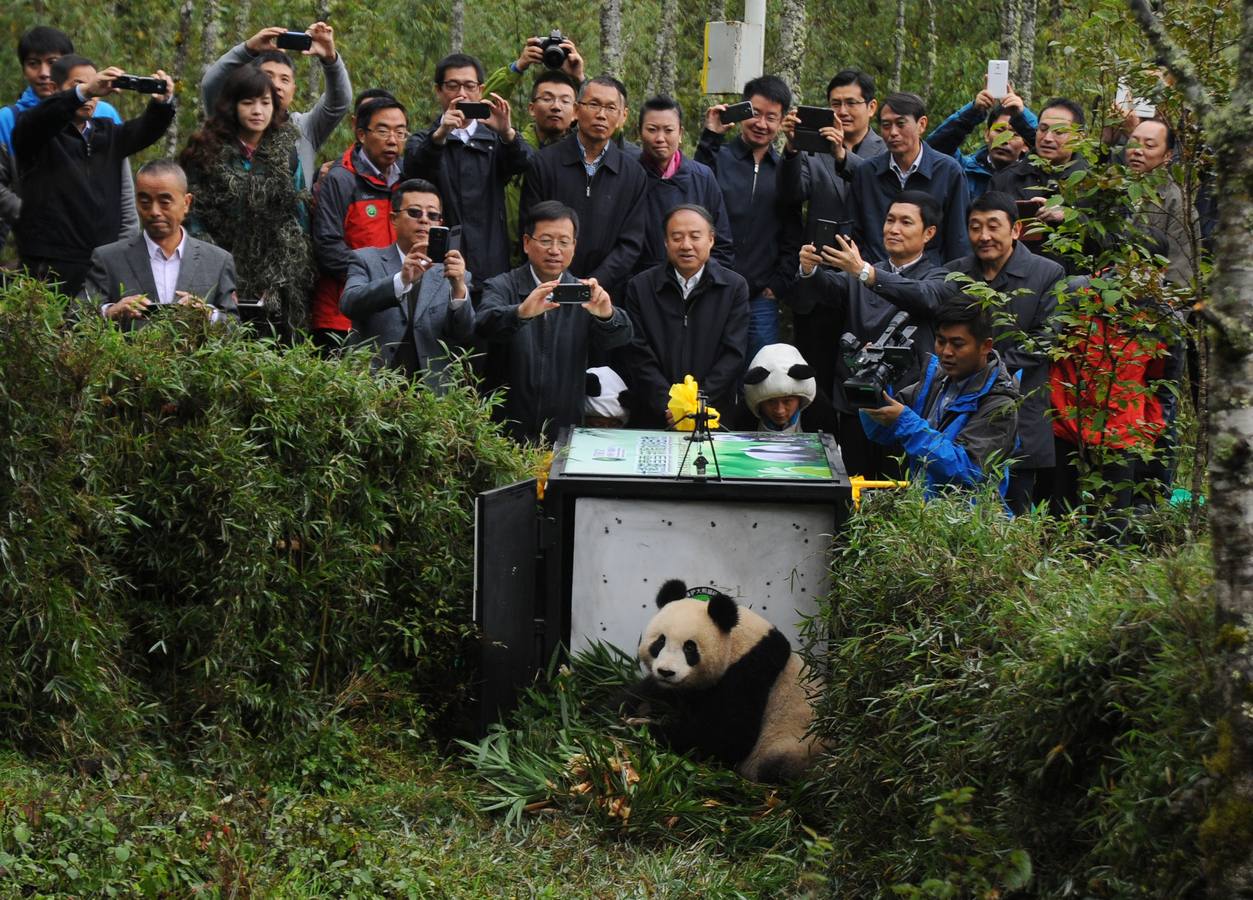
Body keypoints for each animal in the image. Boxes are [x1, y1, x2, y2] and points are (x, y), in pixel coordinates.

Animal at [630, 579, 826, 783]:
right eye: (660, 641)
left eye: (689, 648)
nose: (666, 672)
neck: (737, 643)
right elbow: (649, 692)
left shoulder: (752, 670)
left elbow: (727, 736)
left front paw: (646, 727)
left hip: (797, 746)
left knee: (778, 766)